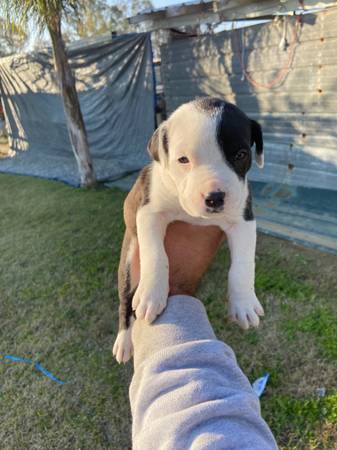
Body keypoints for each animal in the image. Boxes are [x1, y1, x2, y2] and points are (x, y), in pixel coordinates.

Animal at [113, 97, 266, 362]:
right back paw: (124, 341)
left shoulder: (243, 220)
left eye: (240, 154)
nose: (215, 197)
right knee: (125, 299)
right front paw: (152, 293)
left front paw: (244, 303)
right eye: (183, 160)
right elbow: (156, 255)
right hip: (128, 265)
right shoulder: (149, 213)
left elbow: (243, 266)